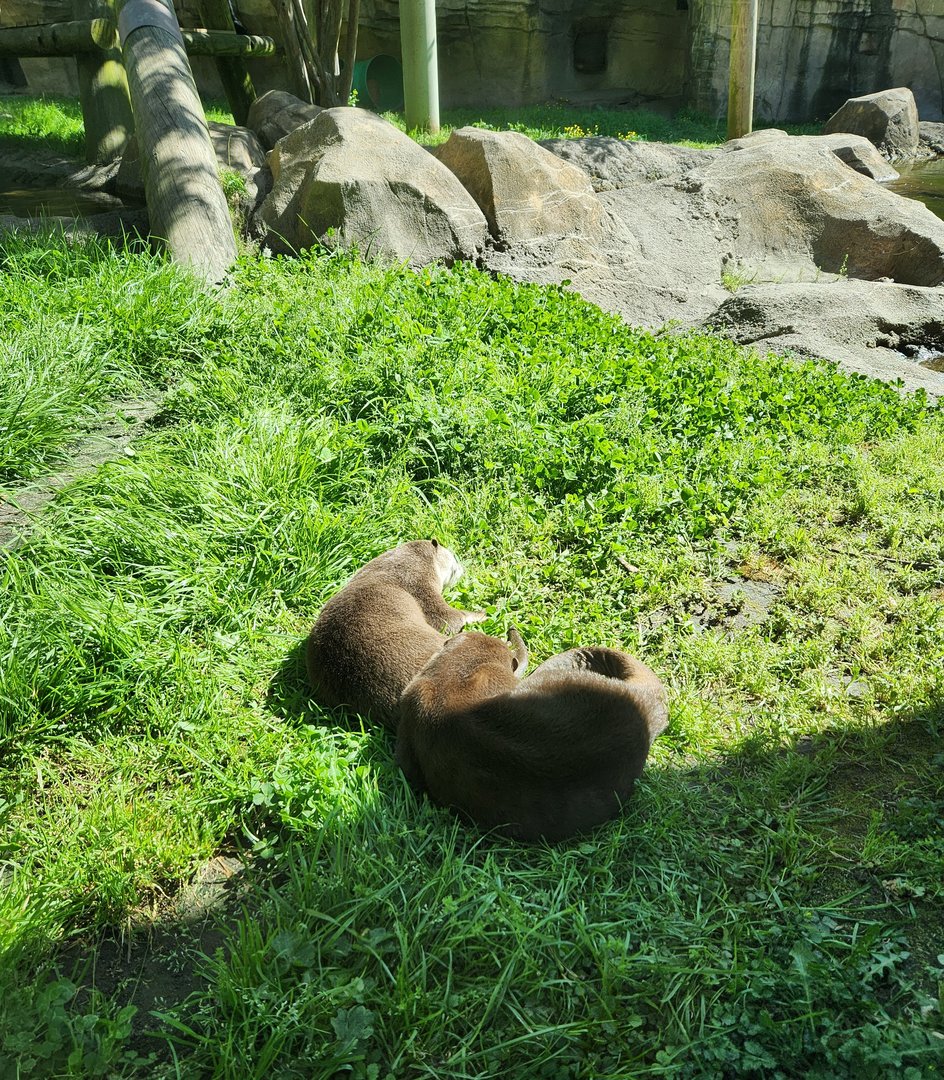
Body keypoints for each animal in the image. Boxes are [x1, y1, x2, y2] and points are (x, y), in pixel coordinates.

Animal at [305, 540, 486, 729]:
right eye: (454, 560)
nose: (461, 569)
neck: (405, 560)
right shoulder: (417, 581)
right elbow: (447, 619)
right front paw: (481, 614)